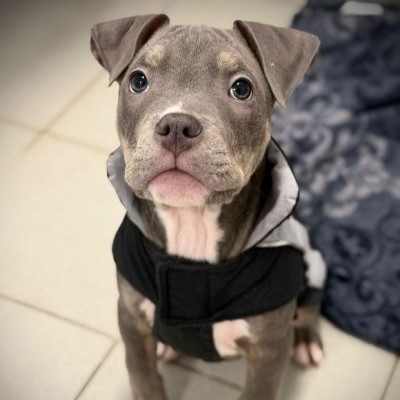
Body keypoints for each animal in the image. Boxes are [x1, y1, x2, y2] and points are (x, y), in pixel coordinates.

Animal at [91, 14, 327, 400]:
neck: (192, 227)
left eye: (241, 88)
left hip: (312, 270)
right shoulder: (131, 318)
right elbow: (144, 378)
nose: (176, 125)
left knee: (309, 309)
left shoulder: (269, 347)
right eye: (138, 81)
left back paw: (306, 342)